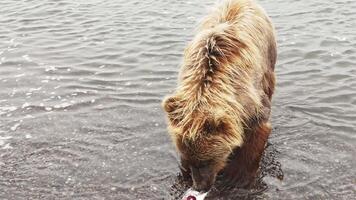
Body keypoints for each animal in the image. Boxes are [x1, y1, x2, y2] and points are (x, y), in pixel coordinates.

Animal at [163, 0, 276, 192]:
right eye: (191, 161)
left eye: (209, 160)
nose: (200, 186)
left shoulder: (251, 104)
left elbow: (255, 136)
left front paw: (238, 177)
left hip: (268, 59)